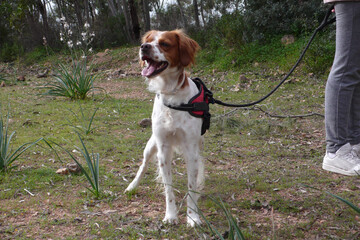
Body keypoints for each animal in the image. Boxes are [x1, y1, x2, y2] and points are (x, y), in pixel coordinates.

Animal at [124, 29, 205, 226]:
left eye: (165, 44)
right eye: (148, 41)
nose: (143, 47)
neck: (171, 94)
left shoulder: (191, 150)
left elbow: (191, 187)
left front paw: (193, 217)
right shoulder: (163, 149)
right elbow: (168, 188)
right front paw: (170, 215)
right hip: (151, 145)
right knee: (143, 165)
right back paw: (132, 186)